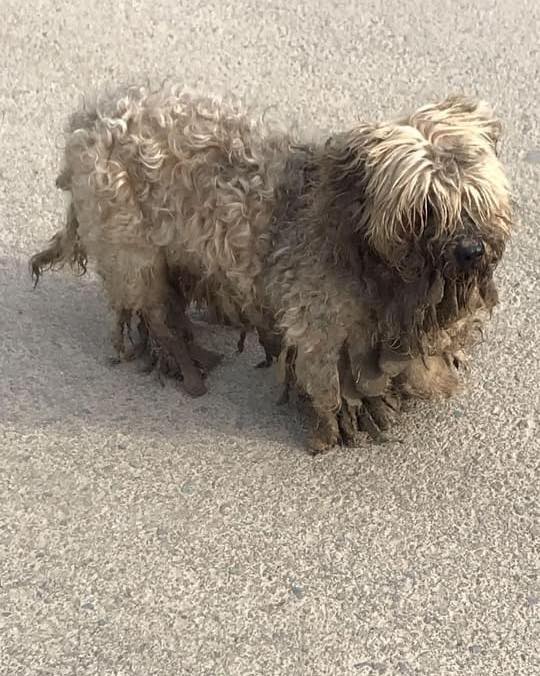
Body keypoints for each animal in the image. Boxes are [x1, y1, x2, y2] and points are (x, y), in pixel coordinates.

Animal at [31, 84, 512, 454]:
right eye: (425, 207)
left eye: (474, 196)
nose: (470, 250)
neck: (358, 243)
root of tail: (90, 120)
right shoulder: (321, 326)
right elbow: (332, 383)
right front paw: (347, 421)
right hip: (133, 253)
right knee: (155, 311)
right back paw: (184, 360)